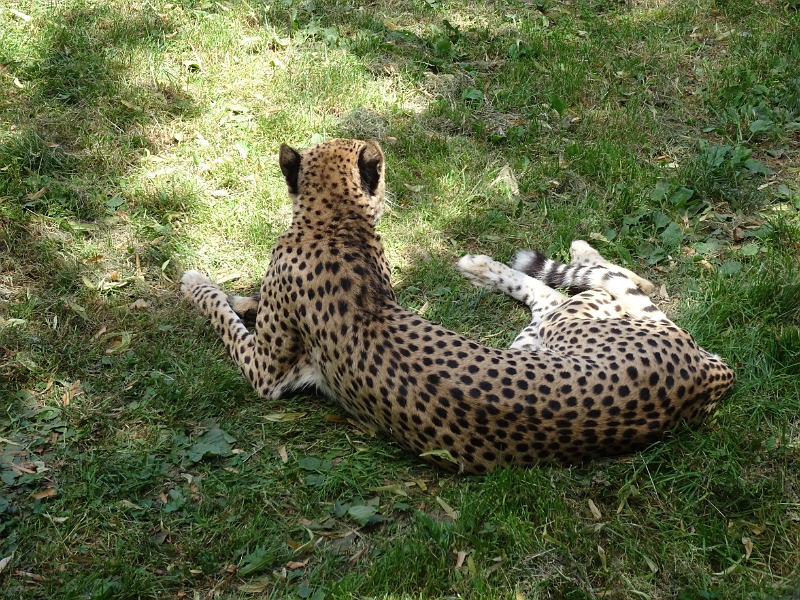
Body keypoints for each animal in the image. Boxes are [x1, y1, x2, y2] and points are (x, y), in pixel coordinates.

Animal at [183, 138, 736, 476]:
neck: (334, 223)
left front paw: (196, 283)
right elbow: (245, 306)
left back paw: (531, 256)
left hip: (566, 326)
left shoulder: (268, 375)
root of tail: (703, 373)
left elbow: (222, 315)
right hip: (530, 342)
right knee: (569, 294)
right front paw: (240, 296)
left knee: (581, 290)